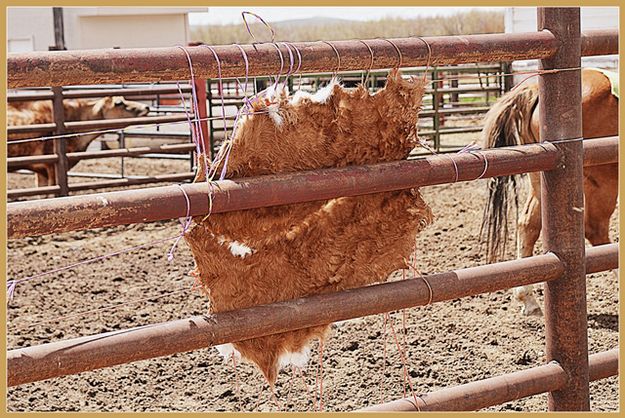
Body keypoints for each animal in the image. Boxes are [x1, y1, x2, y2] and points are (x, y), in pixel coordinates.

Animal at [480, 68, 616, 316]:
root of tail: (535, 88)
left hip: (539, 177)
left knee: (528, 224)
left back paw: (528, 299)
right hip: (605, 179)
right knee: (596, 230)